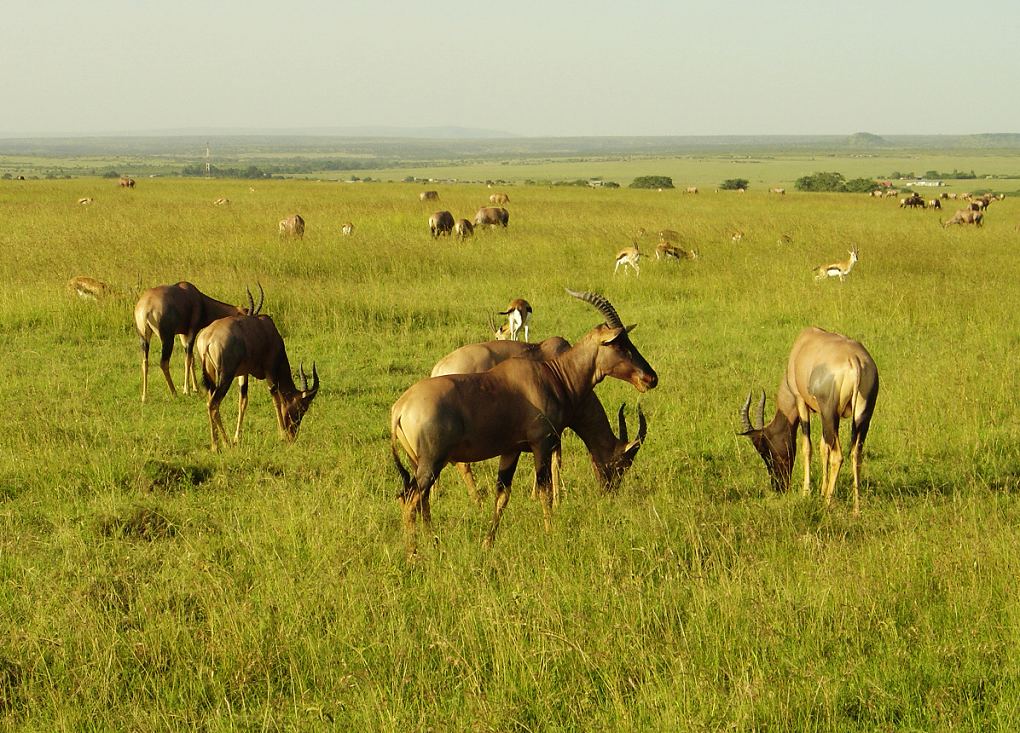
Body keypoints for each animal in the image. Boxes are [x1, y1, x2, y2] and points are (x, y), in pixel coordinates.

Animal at [132, 283, 263, 407]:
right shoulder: (192, 331)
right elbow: (188, 359)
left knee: (145, 362)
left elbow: (192, 359)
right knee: (163, 363)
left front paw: (195, 389)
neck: (195, 296)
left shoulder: (183, 334)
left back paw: (144, 397)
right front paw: (187, 391)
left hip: (143, 338)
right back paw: (174, 393)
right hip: (167, 338)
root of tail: (146, 308)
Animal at [192, 311, 316, 450]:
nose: (292, 436)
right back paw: (225, 443)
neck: (266, 327)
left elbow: (242, 402)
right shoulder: (270, 370)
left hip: (212, 378)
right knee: (213, 405)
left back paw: (215, 445)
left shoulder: (244, 373)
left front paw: (237, 438)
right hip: (225, 377)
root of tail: (207, 340)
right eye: (302, 408)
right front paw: (282, 436)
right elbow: (276, 400)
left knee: (210, 403)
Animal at [430, 336, 644, 505]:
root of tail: (439, 368)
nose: (610, 493)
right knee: (462, 464)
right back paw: (477, 500)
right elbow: (556, 460)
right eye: (622, 465)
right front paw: (557, 499)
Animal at [738, 326, 881, 515]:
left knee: (838, 456)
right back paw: (856, 509)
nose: (778, 487)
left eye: (764, 449)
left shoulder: (801, 402)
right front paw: (821, 490)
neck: (804, 343)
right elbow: (823, 448)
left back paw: (827, 503)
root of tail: (855, 361)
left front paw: (807, 493)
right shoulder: (822, 414)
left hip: (830, 413)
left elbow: (807, 447)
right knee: (856, 454)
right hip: (862, 417)